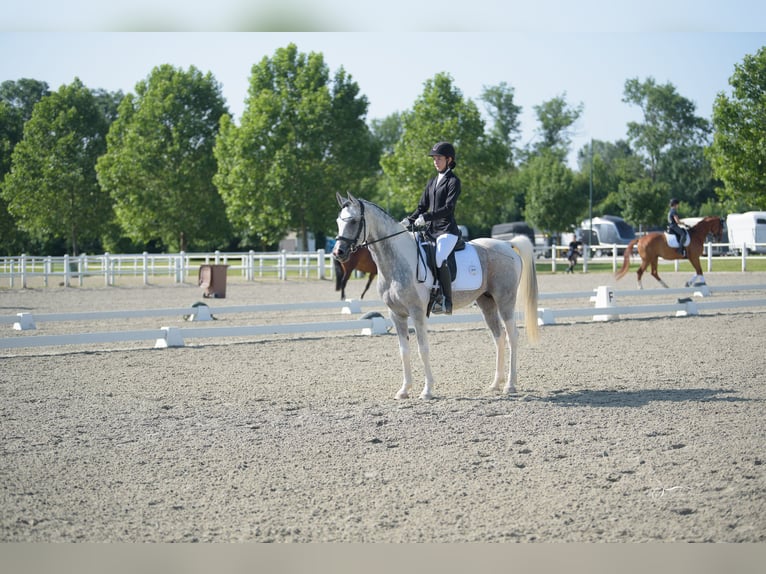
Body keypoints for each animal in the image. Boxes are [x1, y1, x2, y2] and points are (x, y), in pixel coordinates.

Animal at [332, 192, 539, 400]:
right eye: (338, 221)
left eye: (354, 221)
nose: (338, 252)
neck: (398, 261)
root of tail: (507, 245)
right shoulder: (396, 314)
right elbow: (404, 351)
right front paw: (404, 390)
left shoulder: (417, 312)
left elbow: (422, 349)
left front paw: (427, 391)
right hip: (486, 302)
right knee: (499, 337)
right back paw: (495, 384)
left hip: (505, 300)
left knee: (512, 336)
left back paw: (510, 385)